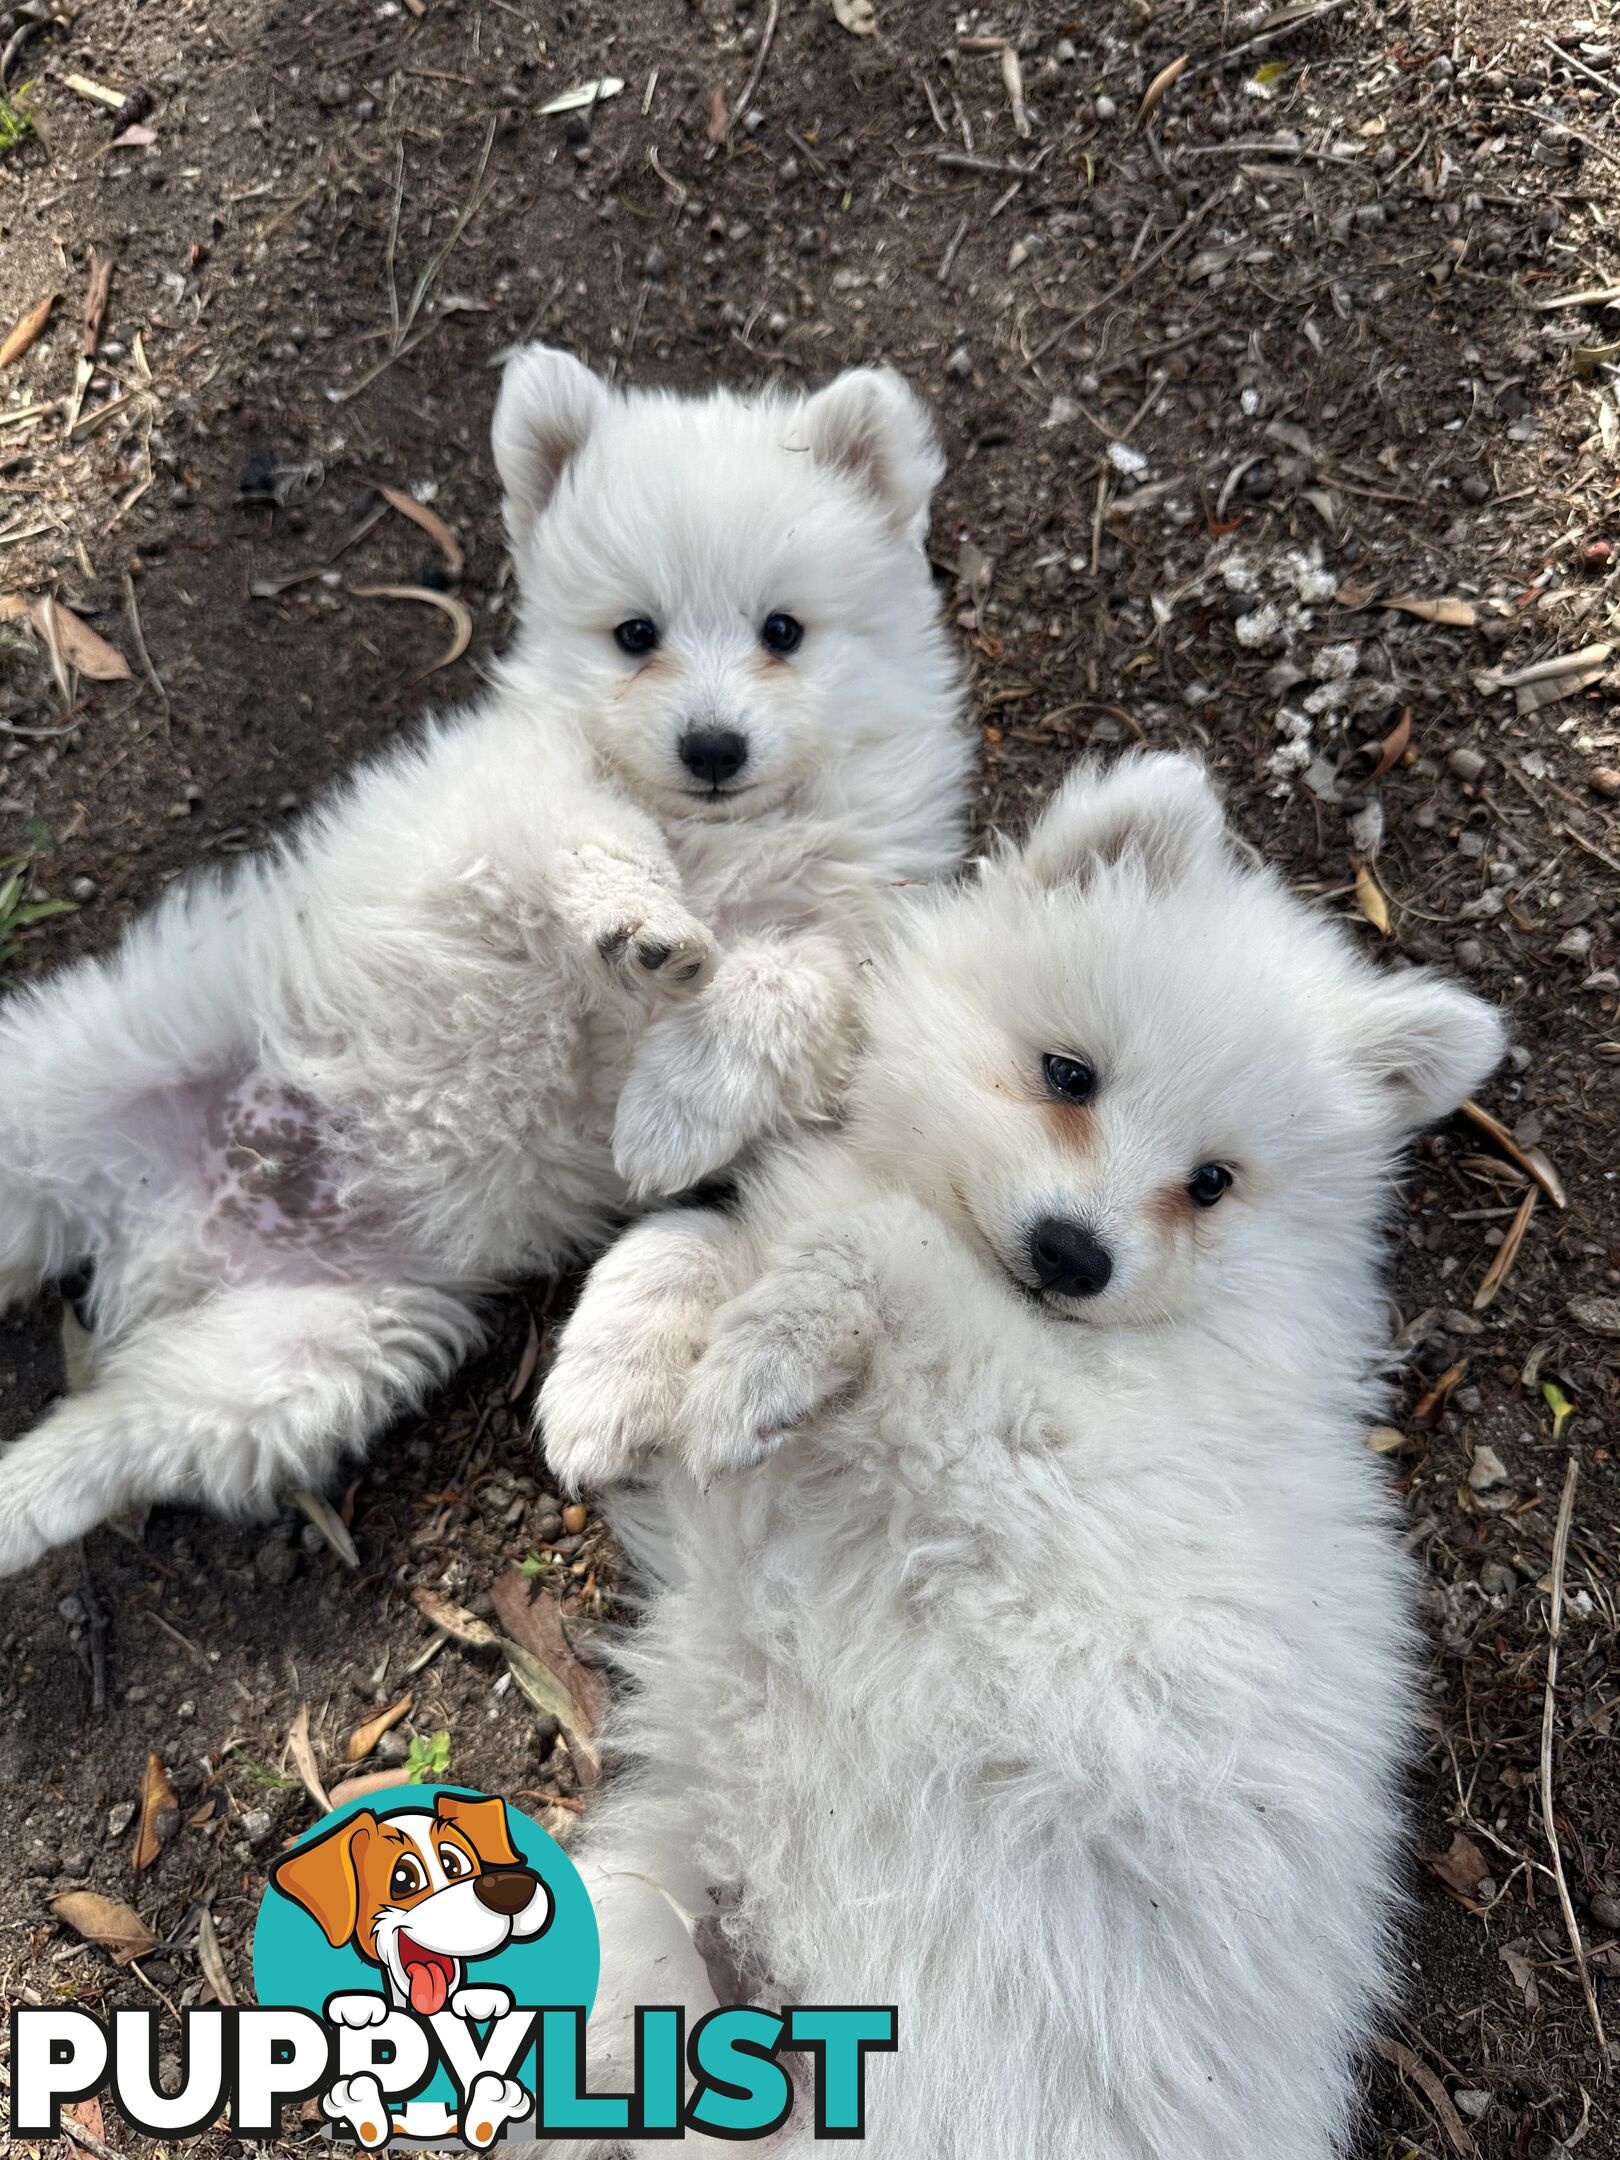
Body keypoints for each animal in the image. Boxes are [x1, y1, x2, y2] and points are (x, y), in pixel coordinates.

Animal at [0, 345, 963, 1581]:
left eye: (784, 631)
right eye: (635, 636)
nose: (712, 748)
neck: (726, 838)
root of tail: (166, 1234)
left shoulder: (862, 939)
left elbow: (788, 981)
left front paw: (674, 1109)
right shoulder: (498, 813)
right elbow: (597, 834)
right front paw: (641, 931)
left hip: (302, 1360)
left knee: (99, 1441)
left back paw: (16, 1498)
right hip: (60, 1088)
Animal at [546, 756, 1512, 2160]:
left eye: (1212, 1183)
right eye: (1068, 1074)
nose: (1073, 1253)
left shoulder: (1035, 1447)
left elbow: (870, 1249)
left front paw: (750, 1369)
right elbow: (696, 1236)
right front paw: (608, 1377)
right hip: (634, 1919)